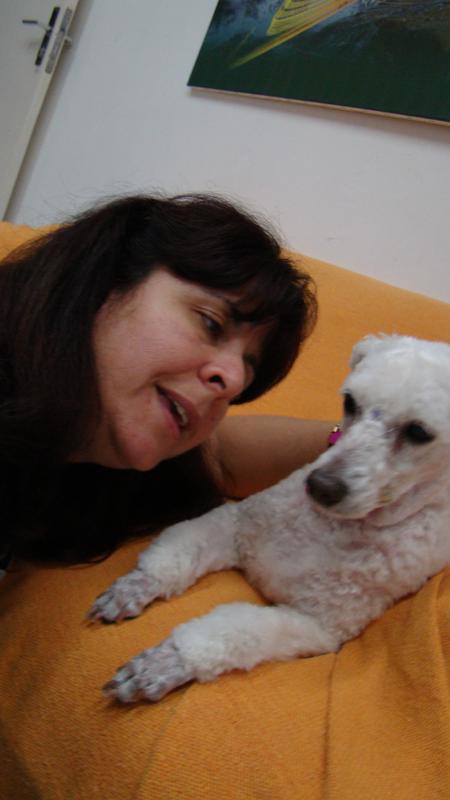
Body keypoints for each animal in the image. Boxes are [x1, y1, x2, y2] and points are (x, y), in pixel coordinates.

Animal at [89, 334, 450, 703]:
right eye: (350, 402)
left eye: (419, 432)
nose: (321, 486)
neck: (333, 527)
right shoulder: (236, 524)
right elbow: (178, 552)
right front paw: (135, 586)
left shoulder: (318, 624)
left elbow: (237, 630)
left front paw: (166, 662)